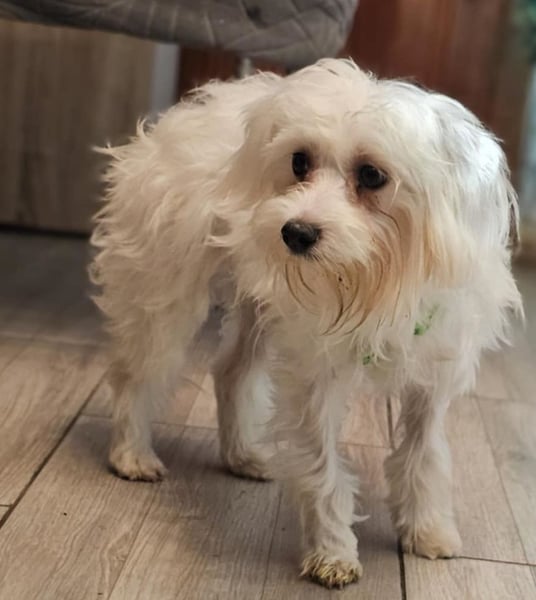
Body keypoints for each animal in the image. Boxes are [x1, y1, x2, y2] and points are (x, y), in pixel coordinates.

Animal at [90, 58, 522, 589]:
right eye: (299, 162)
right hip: (164, 298)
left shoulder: (431, 380)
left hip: (256, 305)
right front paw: (332, 552)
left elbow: (423, 458)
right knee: (137, 376)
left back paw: (241, 454)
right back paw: (131, 454)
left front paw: (426, 529)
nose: (295, 232)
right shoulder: (317, 377)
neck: (379, 283)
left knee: (231, 372)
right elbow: (324, 470)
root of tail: (184, 114)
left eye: (372, 175)